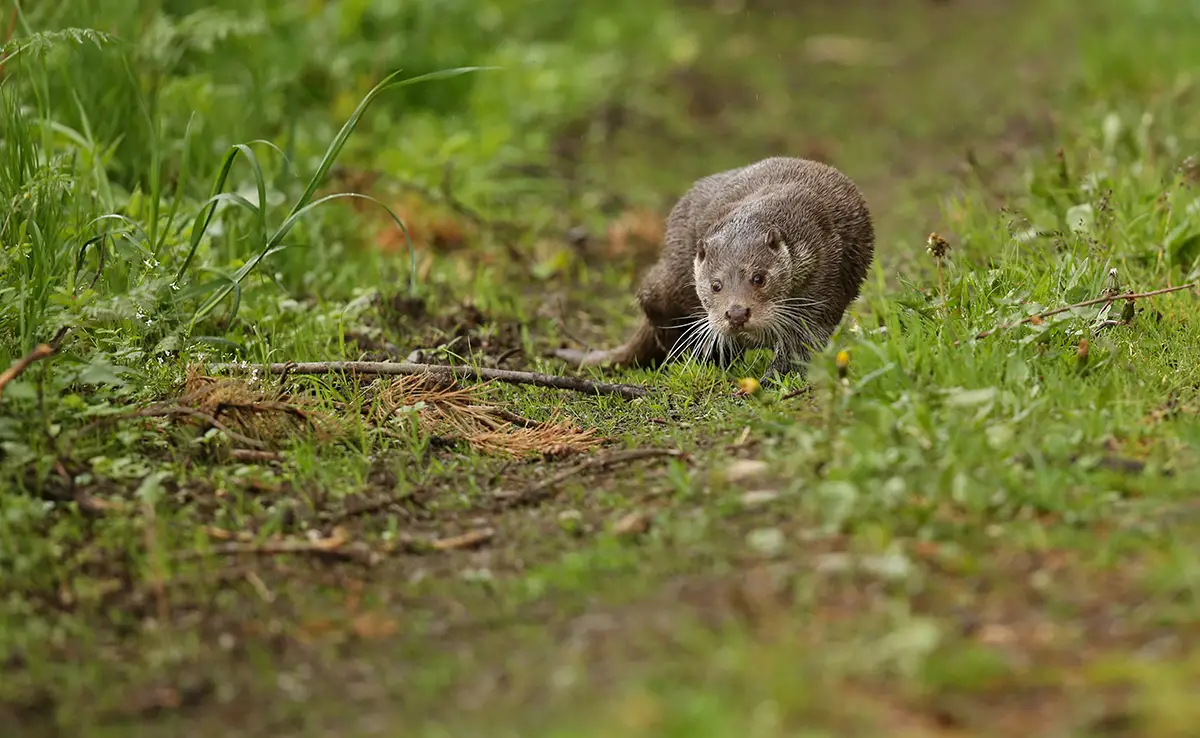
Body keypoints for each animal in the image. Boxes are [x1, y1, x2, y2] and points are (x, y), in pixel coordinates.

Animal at [552, 157, 873, 386]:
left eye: (759, 278)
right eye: (716, 285)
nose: (737, 313)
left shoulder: (822, 284)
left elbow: (803, 341)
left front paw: (772, 380)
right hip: (671, 278)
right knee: (653, 303)